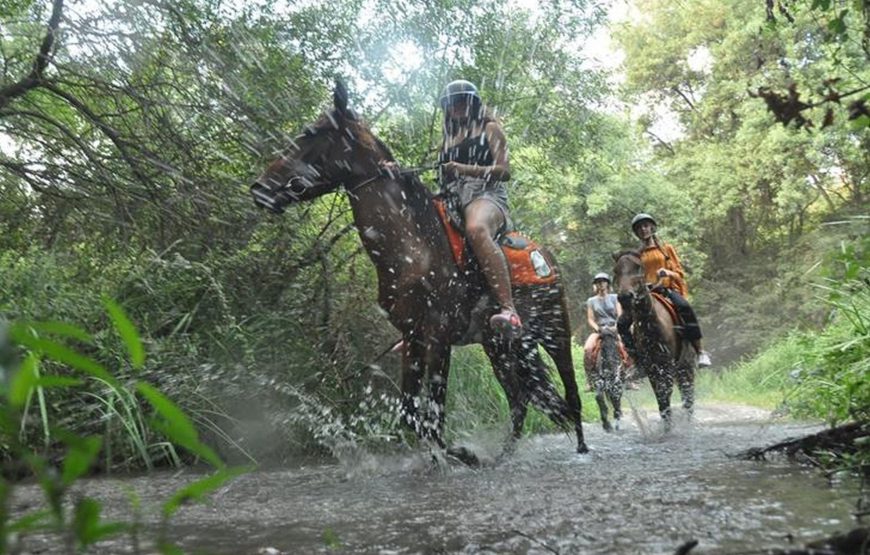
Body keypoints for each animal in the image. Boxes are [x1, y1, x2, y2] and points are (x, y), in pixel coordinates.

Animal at [252, 82, 592, 456]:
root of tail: (546, 256)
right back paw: (502, 456)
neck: (413, 248)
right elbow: (411, 413)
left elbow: (433, 412)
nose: (260, 189)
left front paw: (458, 454)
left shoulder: (438, 335)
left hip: (555, 331)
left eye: (309, 135)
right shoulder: (412, 335)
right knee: (519, 398)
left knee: (571, 392)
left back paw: (581, 448)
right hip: (501, 346)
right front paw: (450, 455)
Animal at [616, 252, 700, 430]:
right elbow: (662, 402)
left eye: (638, 267)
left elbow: (666, 398)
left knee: (689, 399)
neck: (651, 325)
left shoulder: (666, 367)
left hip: (686, 367)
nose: (625, 296)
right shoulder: (651, 369)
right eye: (616, 270)